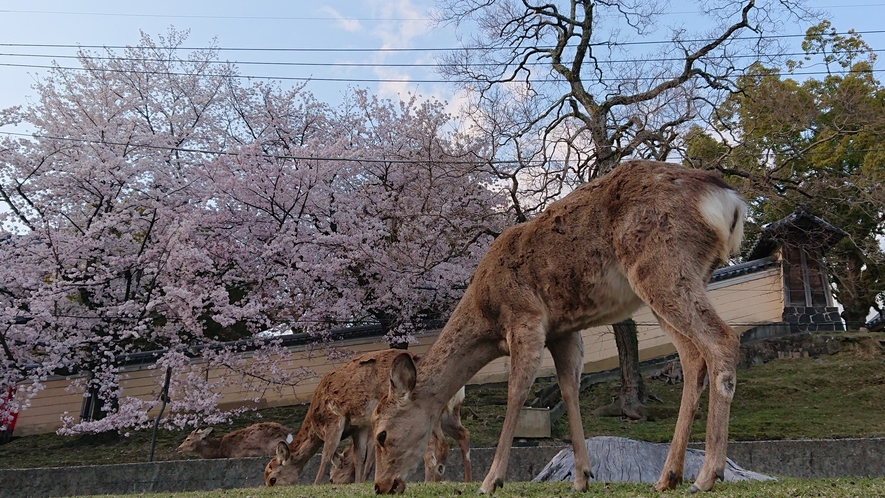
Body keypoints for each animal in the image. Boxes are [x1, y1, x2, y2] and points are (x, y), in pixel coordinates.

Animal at [370, 160, 748, 494]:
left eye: (382, 434)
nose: (380, 485)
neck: (486, 313)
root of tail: (729, 201)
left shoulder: (525, 318)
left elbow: (517, 392)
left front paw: (491, 481)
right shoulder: (563, 331)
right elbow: (569, 389)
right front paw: (582, 478)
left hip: (662, 266)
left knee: (723, 340)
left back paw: (706, 476)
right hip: (676, 281)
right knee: (692, 358)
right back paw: (668, 477)